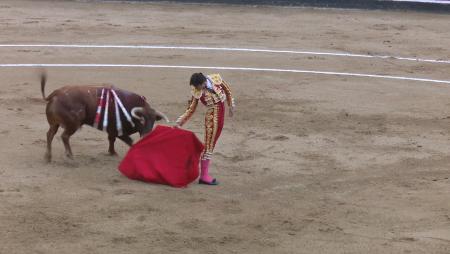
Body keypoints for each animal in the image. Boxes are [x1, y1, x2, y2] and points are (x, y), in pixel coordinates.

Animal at [41, 72, 169, 162]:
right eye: (142, 120)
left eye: (154, 121)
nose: (147, 135)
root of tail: (56, 93)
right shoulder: (118, 130)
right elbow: (130, 141)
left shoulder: (112, 130)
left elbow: (112, 139)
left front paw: (112, 152)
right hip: (73, 124)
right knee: (64, 136)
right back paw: (69, 155)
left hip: (55, 124)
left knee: (50, 134)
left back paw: (48, 157)